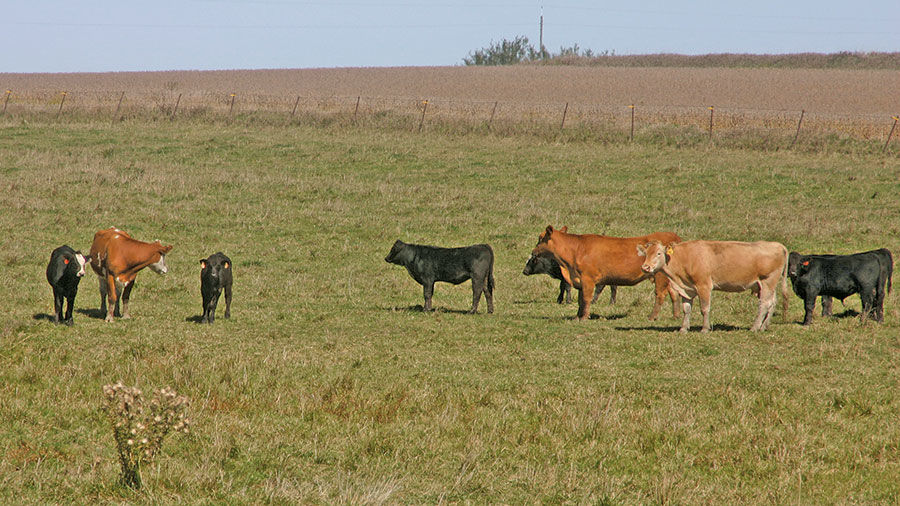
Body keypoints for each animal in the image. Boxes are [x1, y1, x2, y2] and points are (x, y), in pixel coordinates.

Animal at [530, 226, 682, 321]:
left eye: (540, 238)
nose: (533, 251)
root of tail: (672, 235)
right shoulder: (580, 280)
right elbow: (580, 300)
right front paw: (577, 316)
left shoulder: (588, 279)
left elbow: (586, 299)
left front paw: (583, 317)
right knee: (674, 294)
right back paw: (675, 316)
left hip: (660, 276)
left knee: (660, 295)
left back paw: (652, 317)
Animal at [638, 240, 789, 332]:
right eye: (646, 254)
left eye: (658, 253)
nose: (645, 267)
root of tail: (778, 245)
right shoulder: (687, 288)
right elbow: (687, 309)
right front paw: (683, 328)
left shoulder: (704, 286)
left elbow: (704, 308)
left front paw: (704, 328)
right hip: (767, 285)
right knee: (772, 303)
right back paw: (764, 326)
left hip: (767, 282)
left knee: (765, 304)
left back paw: (755, 327)